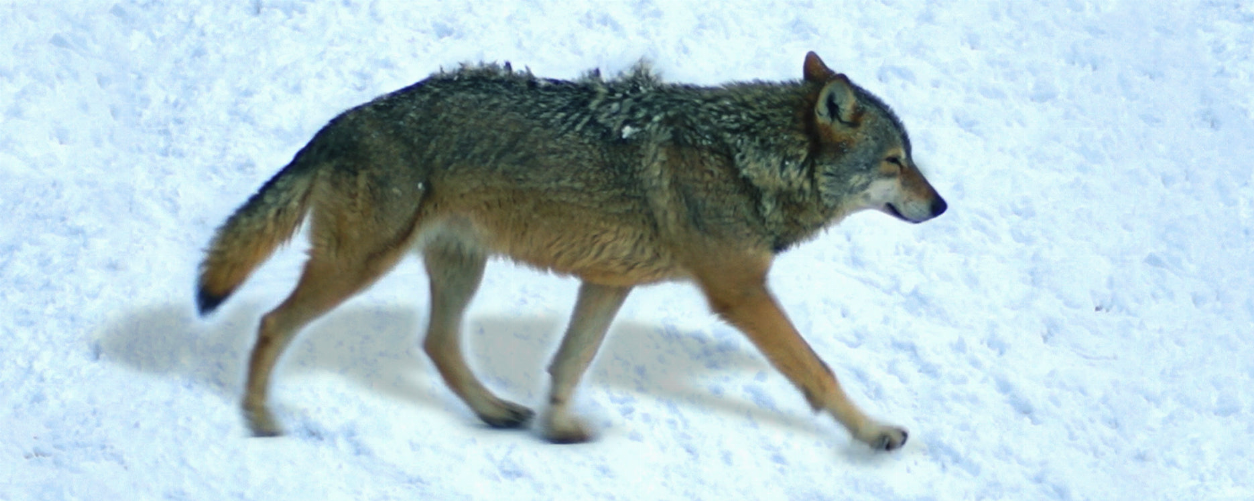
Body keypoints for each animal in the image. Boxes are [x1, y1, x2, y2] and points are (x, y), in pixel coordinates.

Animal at [196, 52, 946, 452]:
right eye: (896, 161)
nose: (941, 206)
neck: (748, 160)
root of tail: (341, 123)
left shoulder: (609, 281)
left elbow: (569, 361)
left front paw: (557, 428)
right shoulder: (741, 293)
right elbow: (818, 372)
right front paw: (875, 432)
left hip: (457, 266)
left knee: (437, 343)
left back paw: (497, 412)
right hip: (359, 265)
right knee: (271, 322)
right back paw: (260, 419)